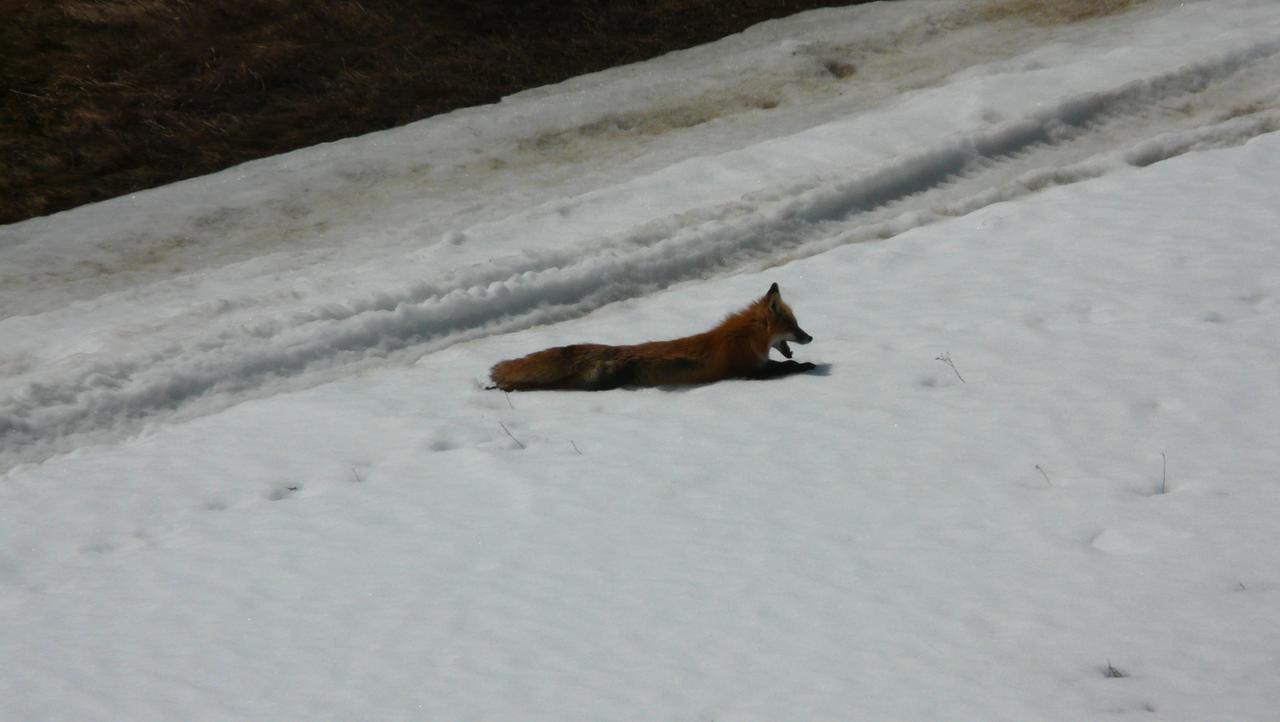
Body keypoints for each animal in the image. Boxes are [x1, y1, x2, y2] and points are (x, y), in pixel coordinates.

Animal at [483, 282, 814, 391]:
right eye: (795, 327)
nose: (810, 338)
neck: (746, 339)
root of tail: (614, 349)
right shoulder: (748, 371)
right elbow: (786, 367)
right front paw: (809, 366)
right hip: (597, 383)